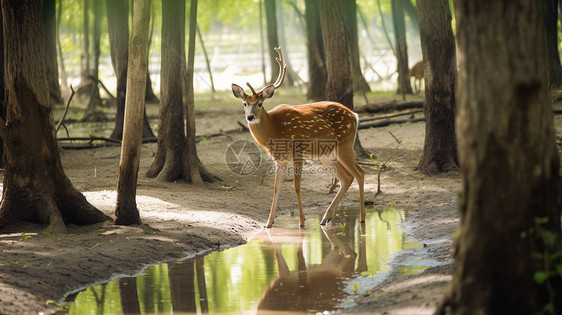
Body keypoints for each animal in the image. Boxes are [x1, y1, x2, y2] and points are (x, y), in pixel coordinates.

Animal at [231, 47, 366, 228]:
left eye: (260, 103)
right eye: (244, 103)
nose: (250, 117)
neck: (276, 130)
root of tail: (355, 115)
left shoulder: (298, 152)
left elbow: (296, 186)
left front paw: (302, 222)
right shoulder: (280, 160)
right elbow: (276, 188)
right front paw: (268, 223)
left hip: (345, 144)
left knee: (360, 173)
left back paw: (362, 218)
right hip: (327, 155)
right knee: (347, 178)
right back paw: (326, 218)